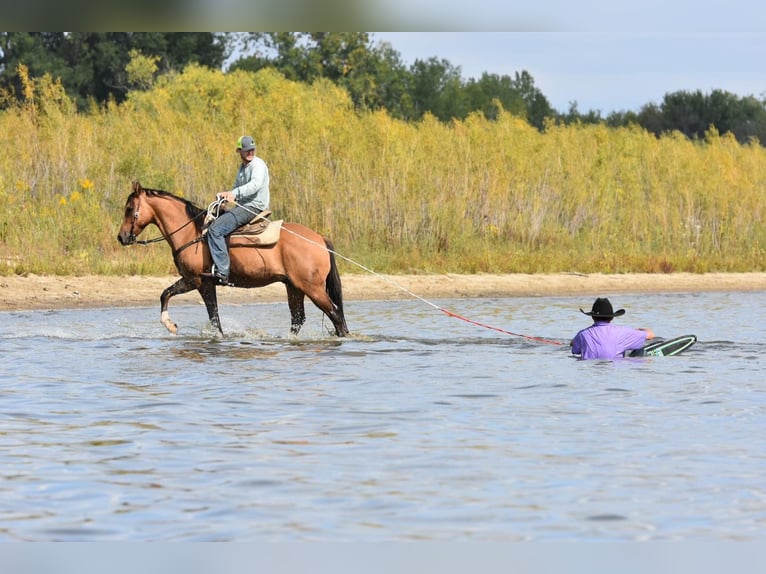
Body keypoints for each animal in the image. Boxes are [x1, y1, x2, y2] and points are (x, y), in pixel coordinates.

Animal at [118, 182, 352, 340]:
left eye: (129, 209)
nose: (122, 237)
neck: (192, 233)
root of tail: (320, 239)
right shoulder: (203, 283)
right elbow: (207, 314)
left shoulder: (196, 280)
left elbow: (170, 296)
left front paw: (170, 326)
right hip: (294, 286)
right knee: (298, 318)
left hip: (312, 287)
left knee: (335, 314)